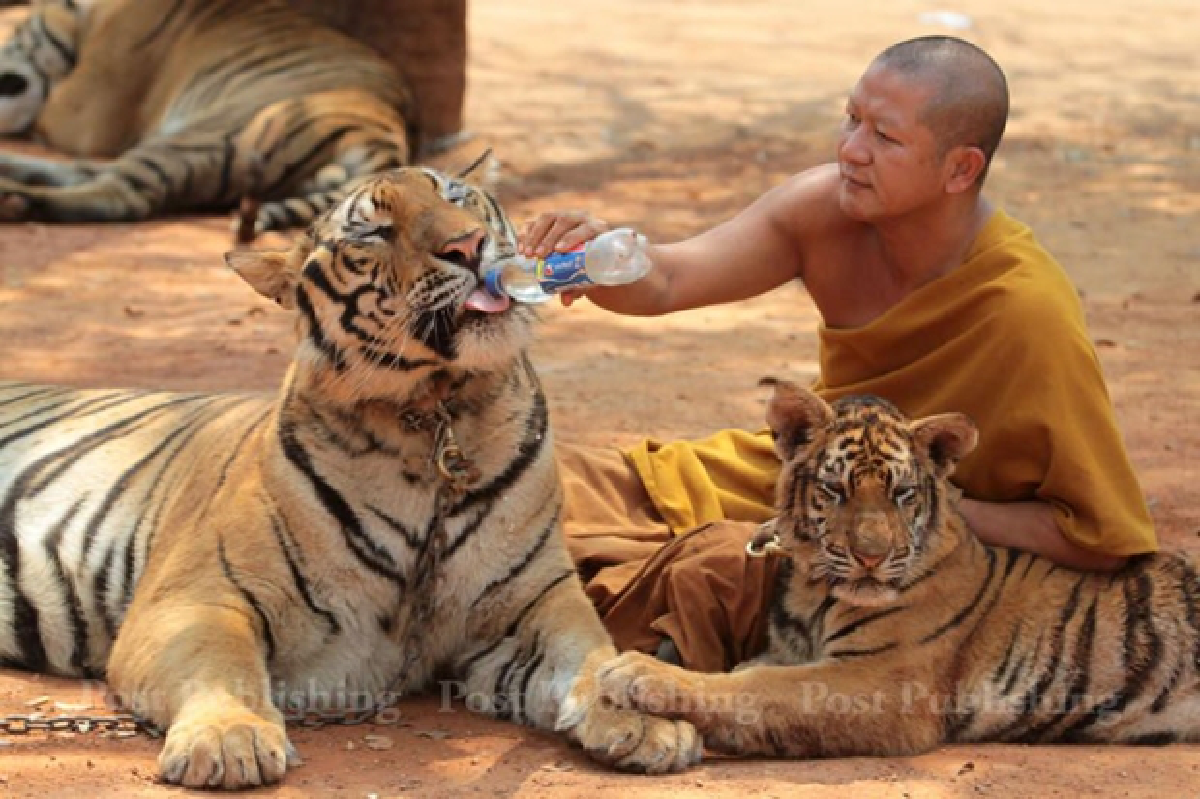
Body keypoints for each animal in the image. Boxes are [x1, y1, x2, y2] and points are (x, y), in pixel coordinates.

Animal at [0, 0, 416, 235]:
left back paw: (14, 199)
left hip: (208, 136)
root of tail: (390, 134)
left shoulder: (81, 111)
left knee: (123, 194)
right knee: (87, 172)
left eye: (14, 32)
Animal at [0, 166, 702, 788]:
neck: (438, 413)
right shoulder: (193, 597)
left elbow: (589, 653)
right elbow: (221, 664)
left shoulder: (535, 600)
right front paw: (228, 740)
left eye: (455, 194)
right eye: (374, 231)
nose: (468, 245)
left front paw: (643, 717)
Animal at [595, 376, 1200, 757]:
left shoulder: (877, 682)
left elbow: (753, 690)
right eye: (836, 490)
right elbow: (744, 675)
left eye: (902, 493)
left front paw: (637, 673)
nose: (871, 556)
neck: (811, 589)